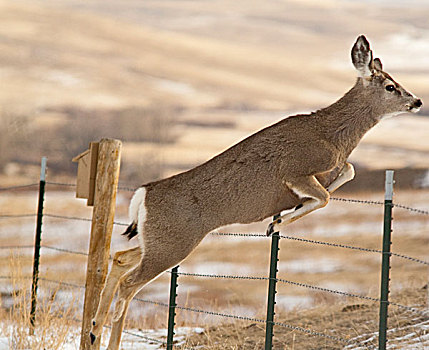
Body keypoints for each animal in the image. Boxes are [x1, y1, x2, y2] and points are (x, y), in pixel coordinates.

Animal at [88, 34, 420, 348]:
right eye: (391, 86)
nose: (416, 101)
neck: (333, 137)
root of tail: (144, 195)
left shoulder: (330, 168)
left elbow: (347, 172)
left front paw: (285, 215)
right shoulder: (294, 170)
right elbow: (325, 195)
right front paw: (277, 222)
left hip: (156, 239)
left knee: (120, 258)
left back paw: (94, 328)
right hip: (173, 243)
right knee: (129, 283)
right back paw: (104, 327)